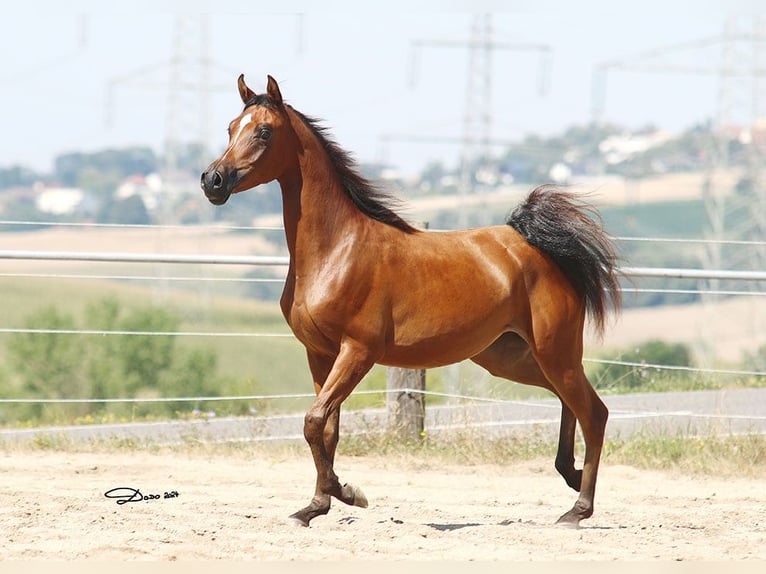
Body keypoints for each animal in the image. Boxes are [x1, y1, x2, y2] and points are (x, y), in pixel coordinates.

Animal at [201, 74, 622, 528]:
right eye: (230, 127)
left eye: (264, 131)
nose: (213, 181)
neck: (337, 249)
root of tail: (538, 246)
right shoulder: (319, 354)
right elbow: (326, 429)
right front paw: (315, 507)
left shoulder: (358, 351)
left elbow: (314, 421)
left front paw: (348, 494)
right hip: (511, 357)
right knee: (569, 401)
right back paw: (570, 474)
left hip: (553, 351)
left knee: (594, 412)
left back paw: (578, 509)